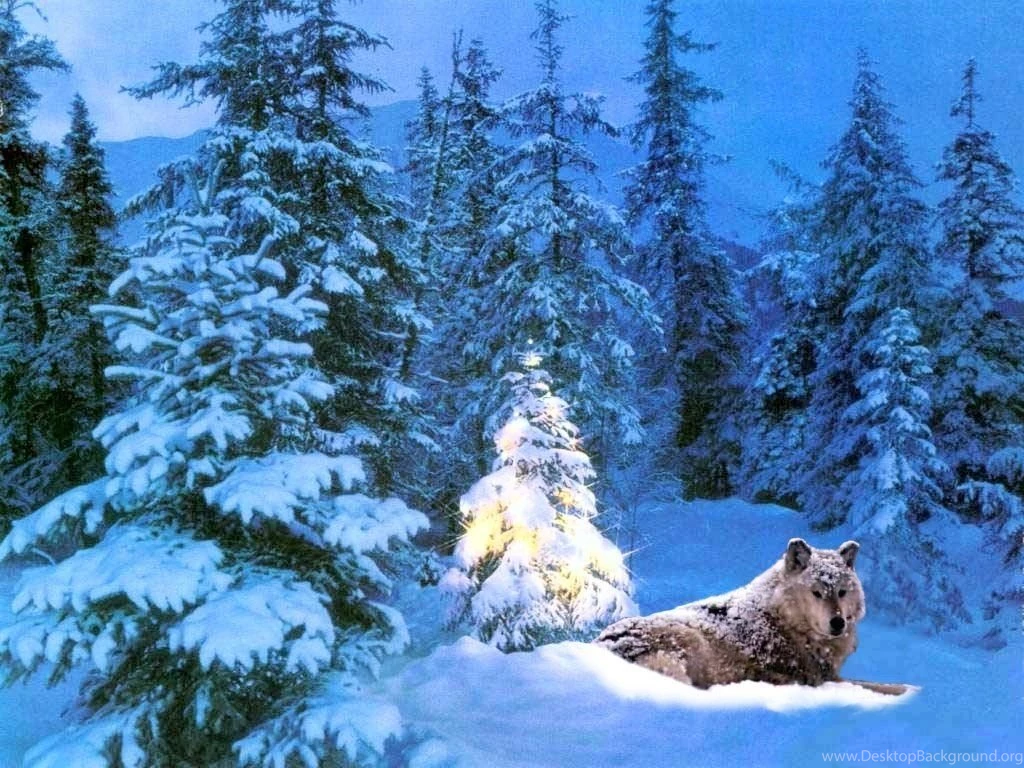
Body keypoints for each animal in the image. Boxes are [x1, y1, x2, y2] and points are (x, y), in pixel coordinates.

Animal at [595, 538, 911, 695]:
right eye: (817, 593)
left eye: (842, 592)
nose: (838, 623)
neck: (784, 621)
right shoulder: (819, 679)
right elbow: (886, 686)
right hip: (687, 639)